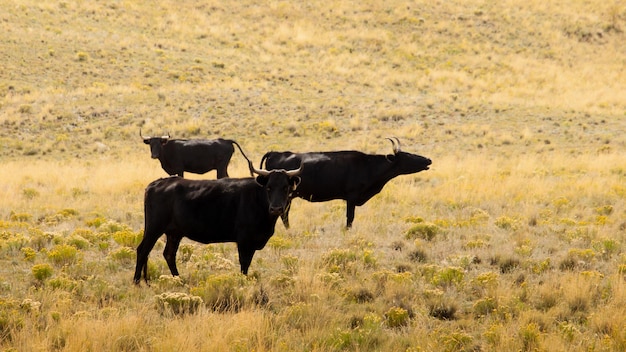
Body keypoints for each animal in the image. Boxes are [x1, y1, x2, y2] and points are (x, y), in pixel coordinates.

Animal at [133, 162, 304, 286]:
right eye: (269, 187)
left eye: (285, 187)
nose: (276, 208)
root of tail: (157, 183)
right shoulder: (244, 240)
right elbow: (244, 263)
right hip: (154, 228)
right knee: (143, 250)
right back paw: (137, 282)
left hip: (174, 233)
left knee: (169, 254)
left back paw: (178, 280)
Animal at [258, 138, 428, 228]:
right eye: (407, 155)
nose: (428, 160)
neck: (368, 166)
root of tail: (275, 152)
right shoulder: (351, 197)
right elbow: (349, 218)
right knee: (284, 214)